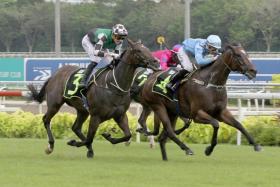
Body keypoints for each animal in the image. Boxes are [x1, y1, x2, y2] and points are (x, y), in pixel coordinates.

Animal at [27, 39, 160, 158]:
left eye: (147, 49)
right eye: (138, 50)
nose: (156, 62)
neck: (113, 85)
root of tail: (54, 75)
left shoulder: (120, 115)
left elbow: (127, 135)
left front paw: (108, 137)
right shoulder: (96, 116)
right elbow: (89, 138)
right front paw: (74, 142)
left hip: (82, 110)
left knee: (76, 127)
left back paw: (89, 150)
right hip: (55, 104)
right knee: (46, 120)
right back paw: (50, 146)